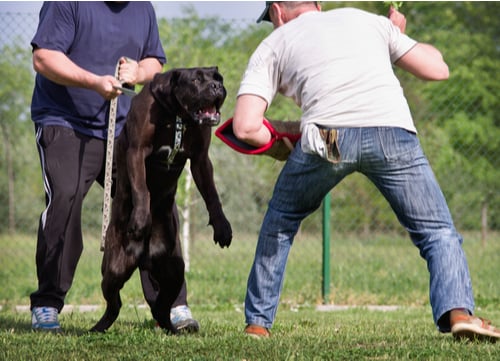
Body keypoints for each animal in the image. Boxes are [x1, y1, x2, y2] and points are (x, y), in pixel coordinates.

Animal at [91, 67, 231, 332]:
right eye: (196, 79)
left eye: (218, 78)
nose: (217, 87)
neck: (178, 115)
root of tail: (143, 258)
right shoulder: (137, 151)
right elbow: (142, 189)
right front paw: (140, 220)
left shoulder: (201, 160)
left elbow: (212, 195)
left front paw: (222, 226)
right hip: (114, 268)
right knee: (114, 302)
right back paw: (99, 327)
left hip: (174, 270)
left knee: (161, 305)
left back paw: (173, 328)